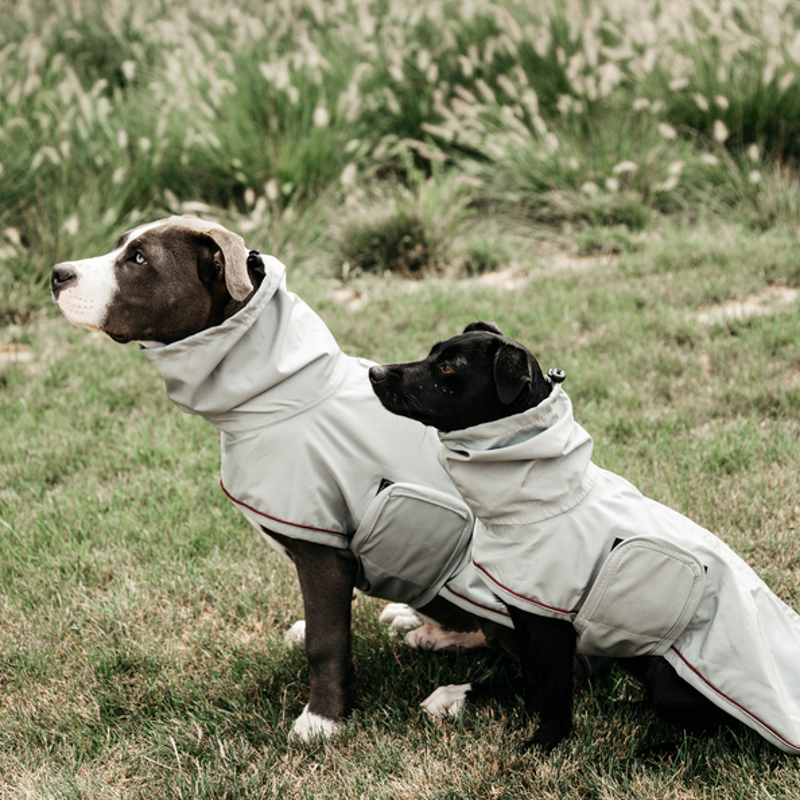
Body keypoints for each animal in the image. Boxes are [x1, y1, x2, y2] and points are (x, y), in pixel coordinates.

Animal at [51, 217, 512, 736]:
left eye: (139, 258)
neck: (283, 392)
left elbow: (325, 642)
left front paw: (322, 719)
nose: (57, 274)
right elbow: (322, 624)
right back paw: (425, 627)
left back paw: (456, 694)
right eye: (121, 245)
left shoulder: (323, 550)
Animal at [368, 324, 736, 752]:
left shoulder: (554, 630)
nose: (374, 372)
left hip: (667, 681)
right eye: (432, 354)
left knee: (720, 735)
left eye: (447, 367)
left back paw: (653, 748)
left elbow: (556, 696)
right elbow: (534, 684)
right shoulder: (524, 618)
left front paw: (542, 744)